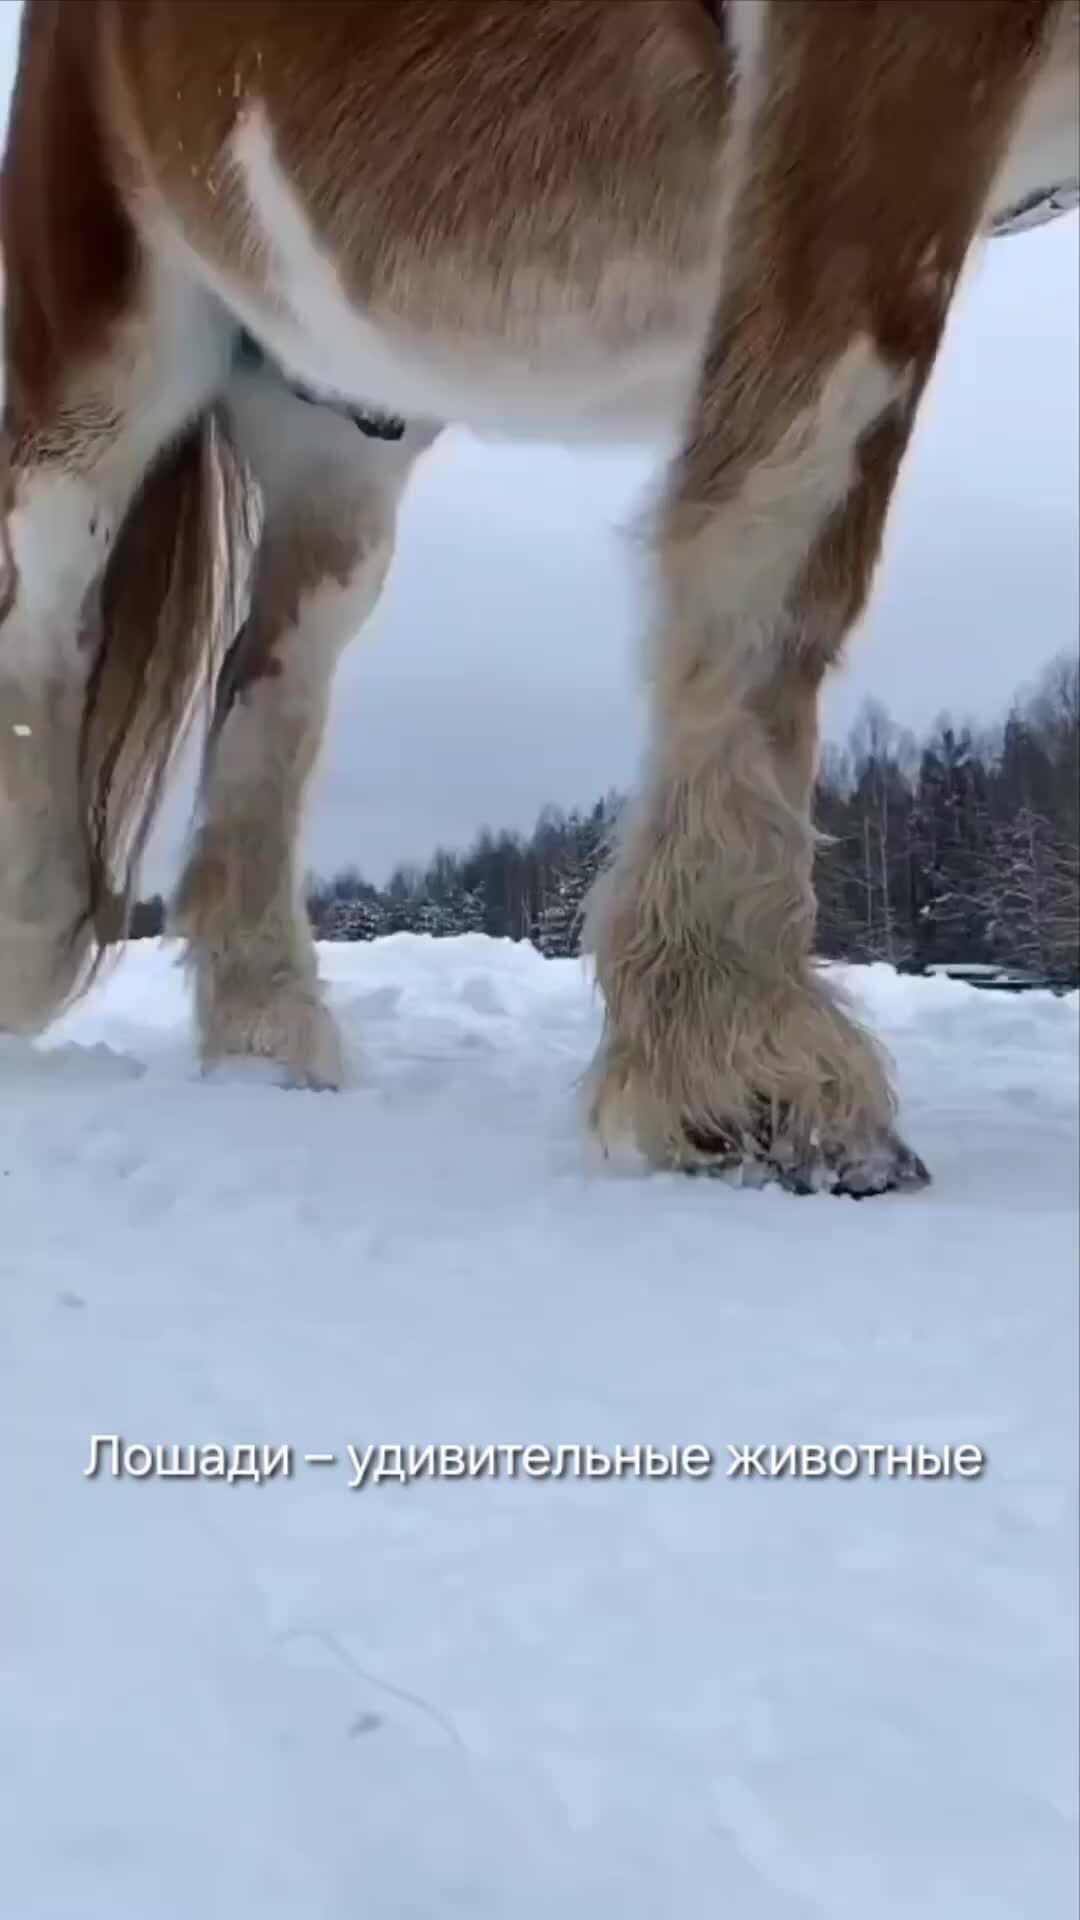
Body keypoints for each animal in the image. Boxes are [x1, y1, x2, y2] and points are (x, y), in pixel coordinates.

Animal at [2, 0, 1076, 1190]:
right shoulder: (885, 64)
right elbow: (781, 523)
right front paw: (745, 1073)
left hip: (339, 420)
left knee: (268, 684)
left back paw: (264, 1032)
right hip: (106, 343)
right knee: (46, 599)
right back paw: (34, 934)